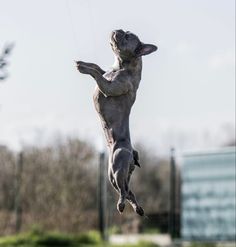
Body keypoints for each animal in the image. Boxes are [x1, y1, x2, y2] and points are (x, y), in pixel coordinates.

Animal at [77, 29, 157, 215]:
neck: (120, 67)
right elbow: (97, 68)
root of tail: (132, 154)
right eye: (126, 32)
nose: (119, 30)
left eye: (127, 37)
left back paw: (121, 205)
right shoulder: (106, 72)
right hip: (111, 175)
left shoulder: (110, 87)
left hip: (119, 166)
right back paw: (138, 208)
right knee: (128, 191)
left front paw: (83, 68)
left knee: (123, 190)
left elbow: (97, 75)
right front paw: (84, 63)